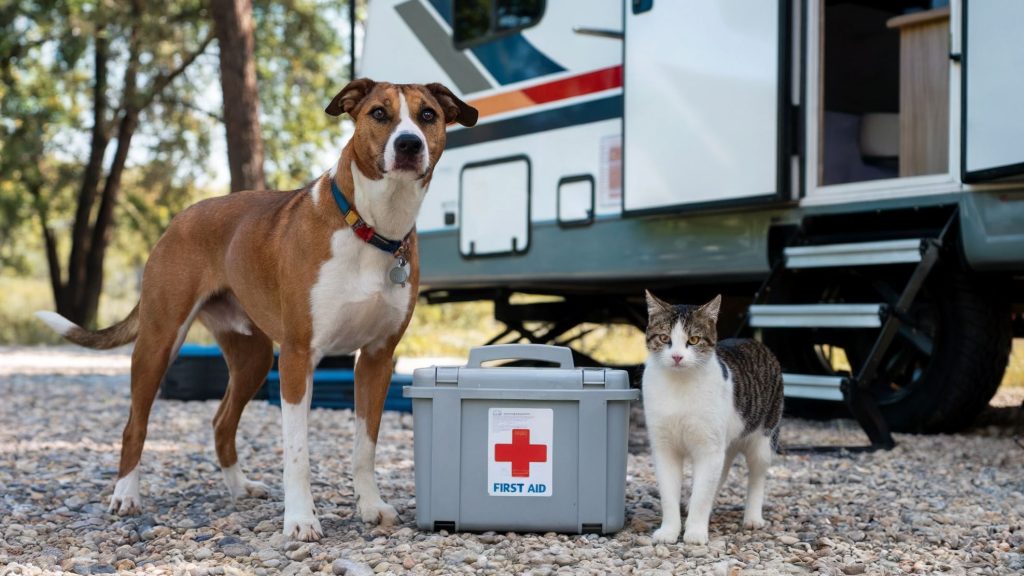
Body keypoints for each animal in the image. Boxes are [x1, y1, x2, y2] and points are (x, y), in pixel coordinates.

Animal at [36, 79, 475, 537]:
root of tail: (178, 219)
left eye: (428, 115)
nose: (408, 144)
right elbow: (297, 454)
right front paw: (300, 519)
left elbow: (364, 447)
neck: (370, 228)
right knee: (134, 425)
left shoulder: (377, 359)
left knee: (221, 423)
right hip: (159, 343)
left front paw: (371, 506)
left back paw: (239, 487)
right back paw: (125, 494)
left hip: (254, 357)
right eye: (378, 113)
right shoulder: (298, 357)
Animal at [638, 291, 782, 541]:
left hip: (764, 436)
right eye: (664, 338)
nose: (677, 356)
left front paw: (695, 531)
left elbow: (702, 495)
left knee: (757, 475)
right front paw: (669, 530)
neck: (679, 386)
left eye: (694, 340)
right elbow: (669, 494)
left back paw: (753, 517)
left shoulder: (708, 448)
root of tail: (754, 342)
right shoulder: (664, 448)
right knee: (720, 473)